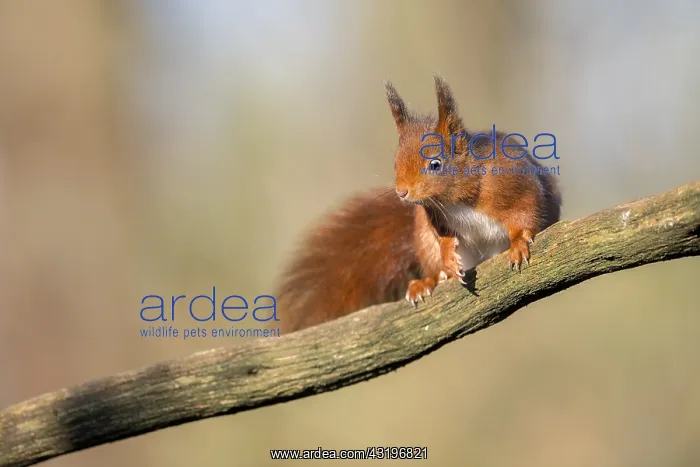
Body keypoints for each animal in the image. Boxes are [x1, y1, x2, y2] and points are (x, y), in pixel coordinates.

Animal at [275, 76, 561, 333]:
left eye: (435, 164)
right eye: (396, 162)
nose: (402, 192)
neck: (456, 201)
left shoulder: (516, 186)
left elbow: (526, 215)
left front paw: (519, 244)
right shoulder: (434, 216)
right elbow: (443, 237)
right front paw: (448, 258)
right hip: (423, 240)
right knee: (436, 268)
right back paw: (427, 282)